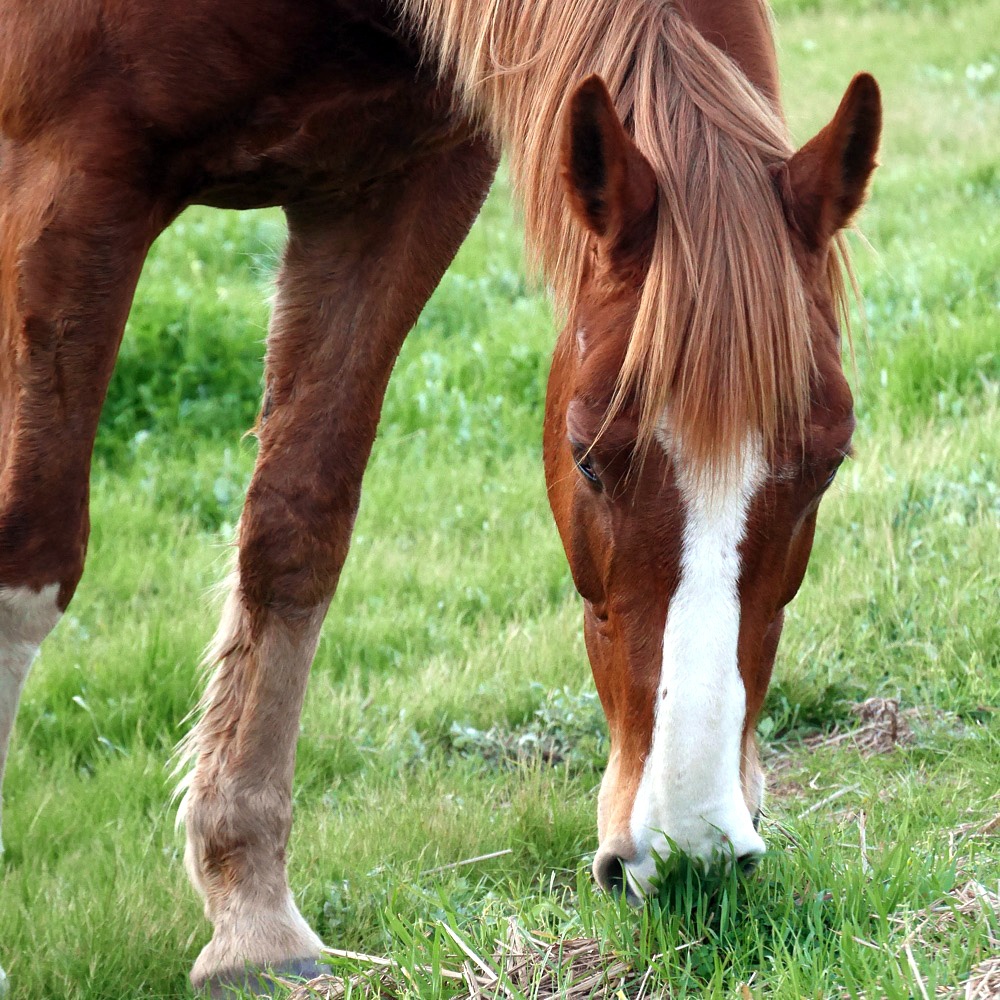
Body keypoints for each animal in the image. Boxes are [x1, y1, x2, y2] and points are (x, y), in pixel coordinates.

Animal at [0, 0, 880, 988]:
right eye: (586, 458)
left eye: (831, 463)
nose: (690, 850)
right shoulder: (67, 180)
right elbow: (29, 548)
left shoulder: (395, 190)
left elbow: (296, 528)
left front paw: (251, 919)